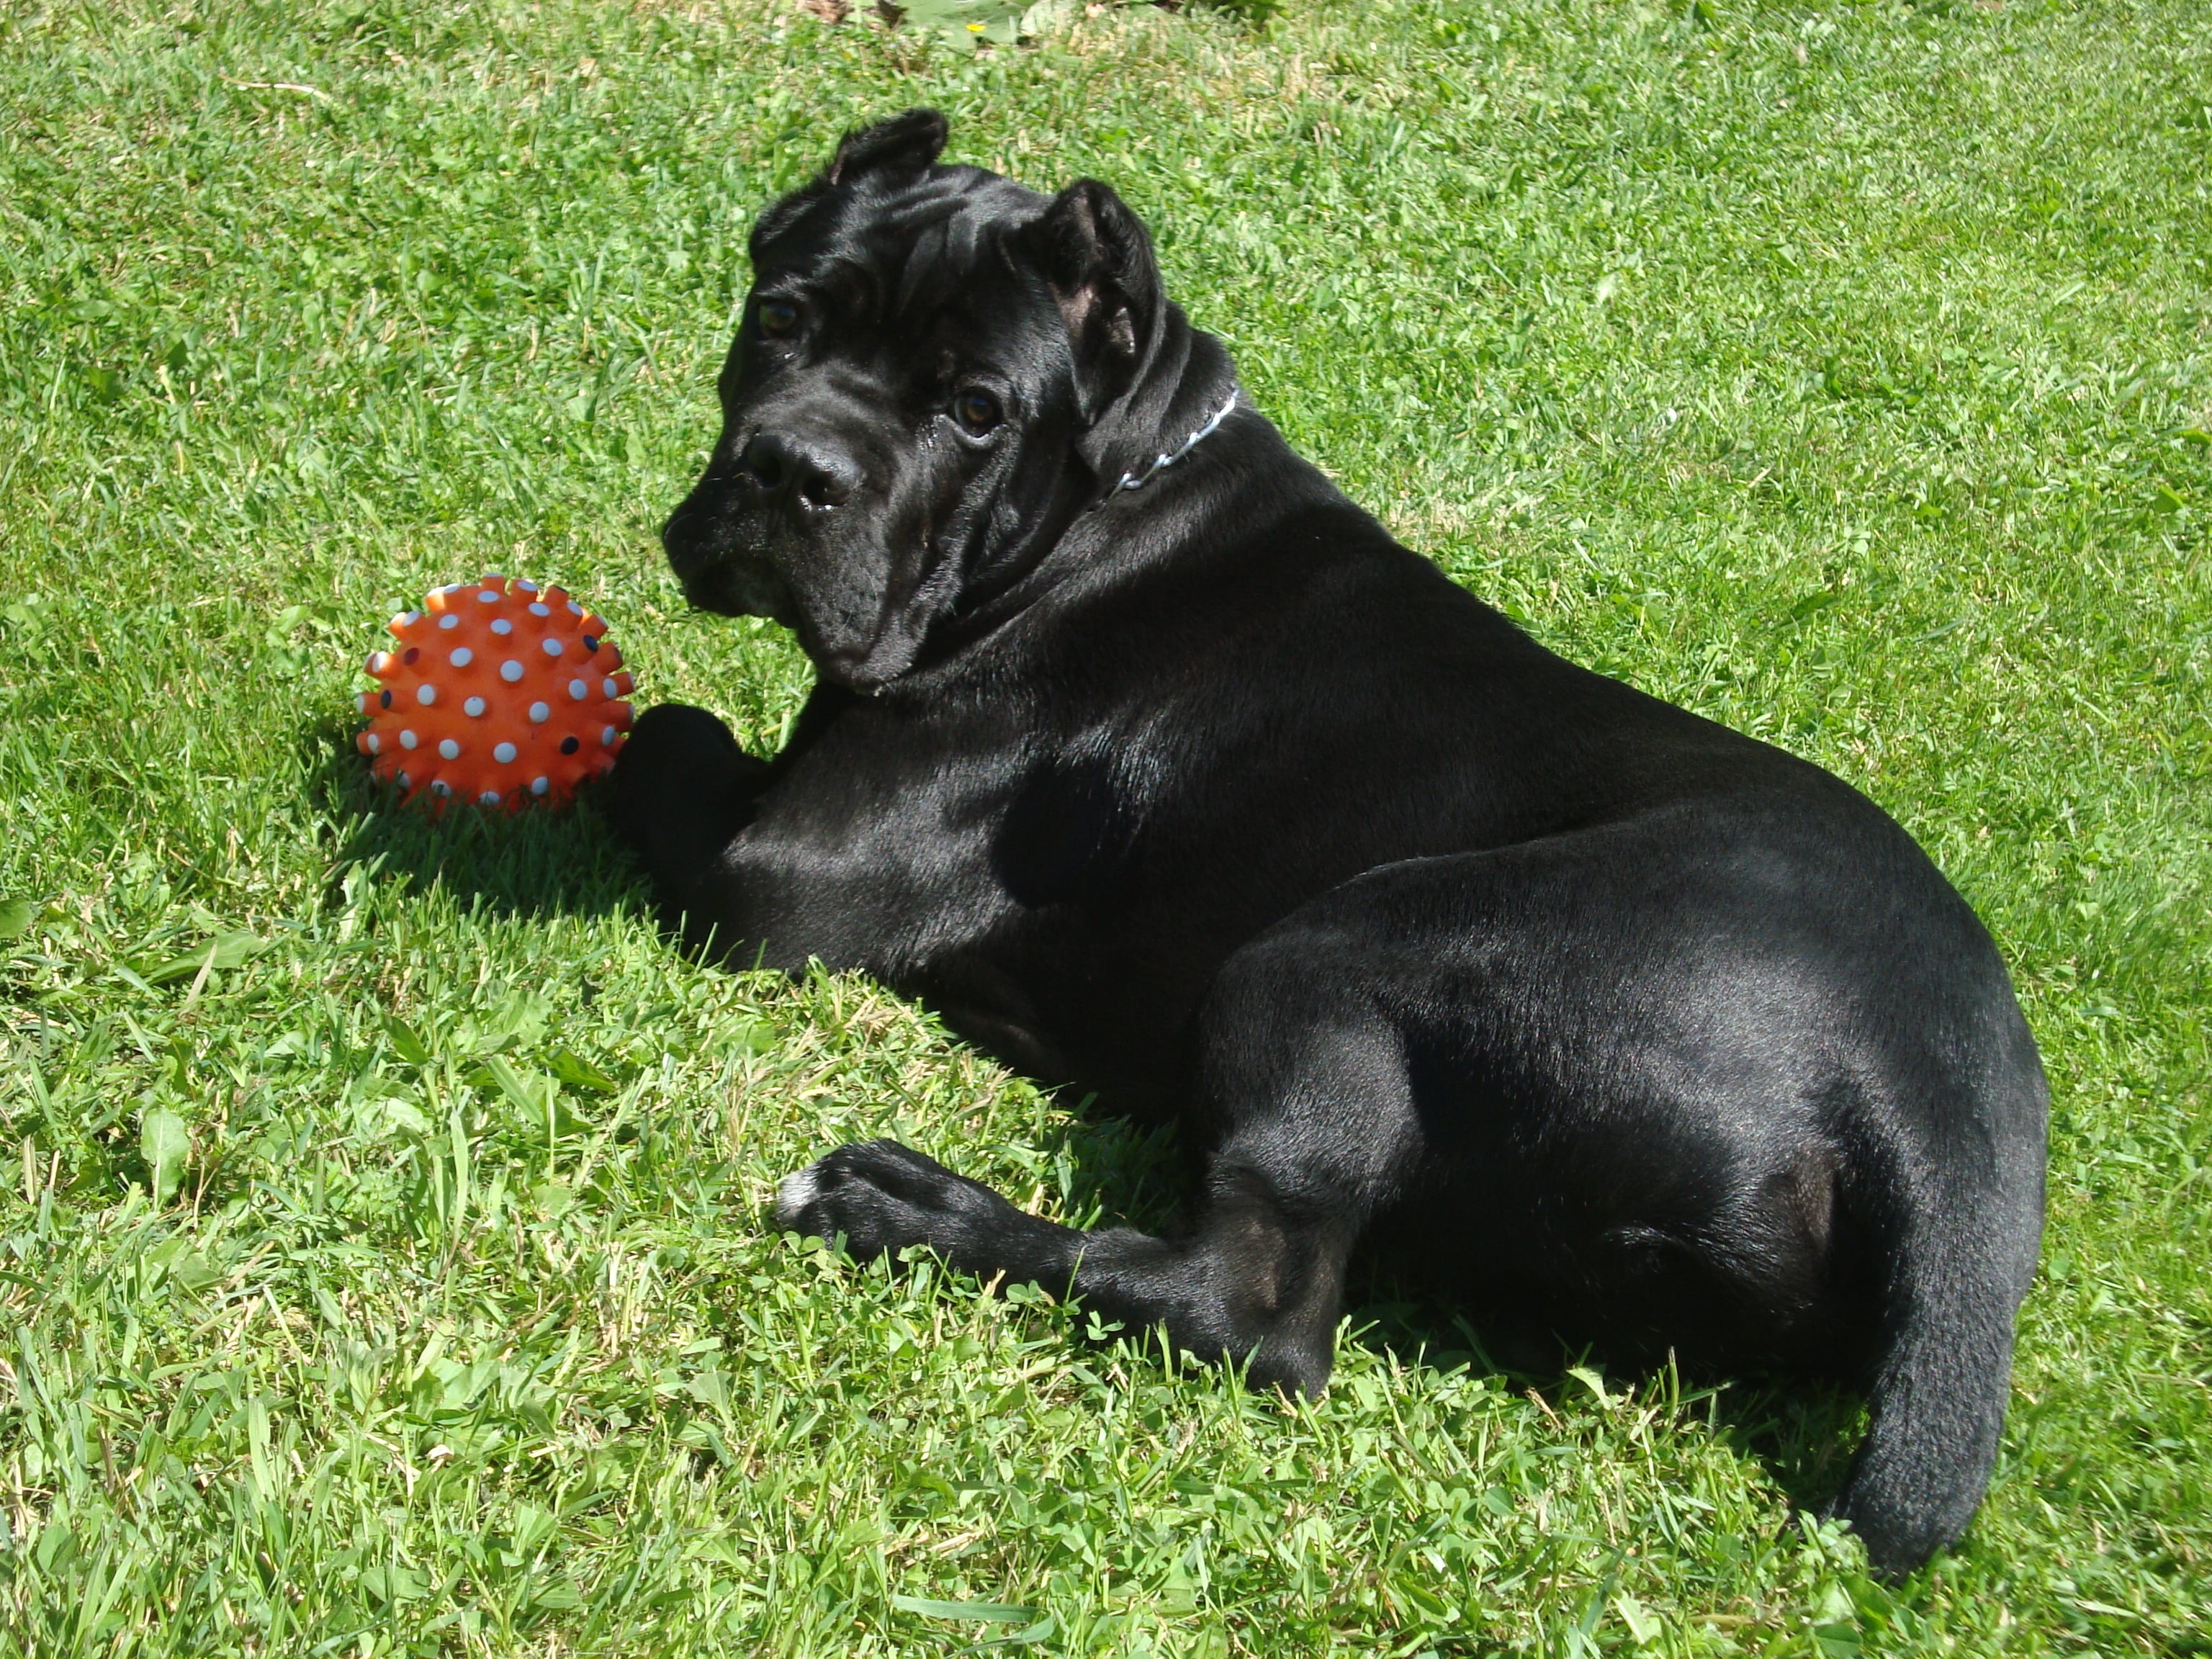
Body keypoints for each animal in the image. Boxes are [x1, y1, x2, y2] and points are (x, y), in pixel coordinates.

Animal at [601, 110, 2035, 1575]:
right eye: (780, 316)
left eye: (978, 411)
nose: (791, 468)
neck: (1110, 490)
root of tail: (1933, 1108)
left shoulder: (783, 876)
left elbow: (654, 728)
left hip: (1335, 950)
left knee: (1256, 1313)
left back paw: (897, 1201)